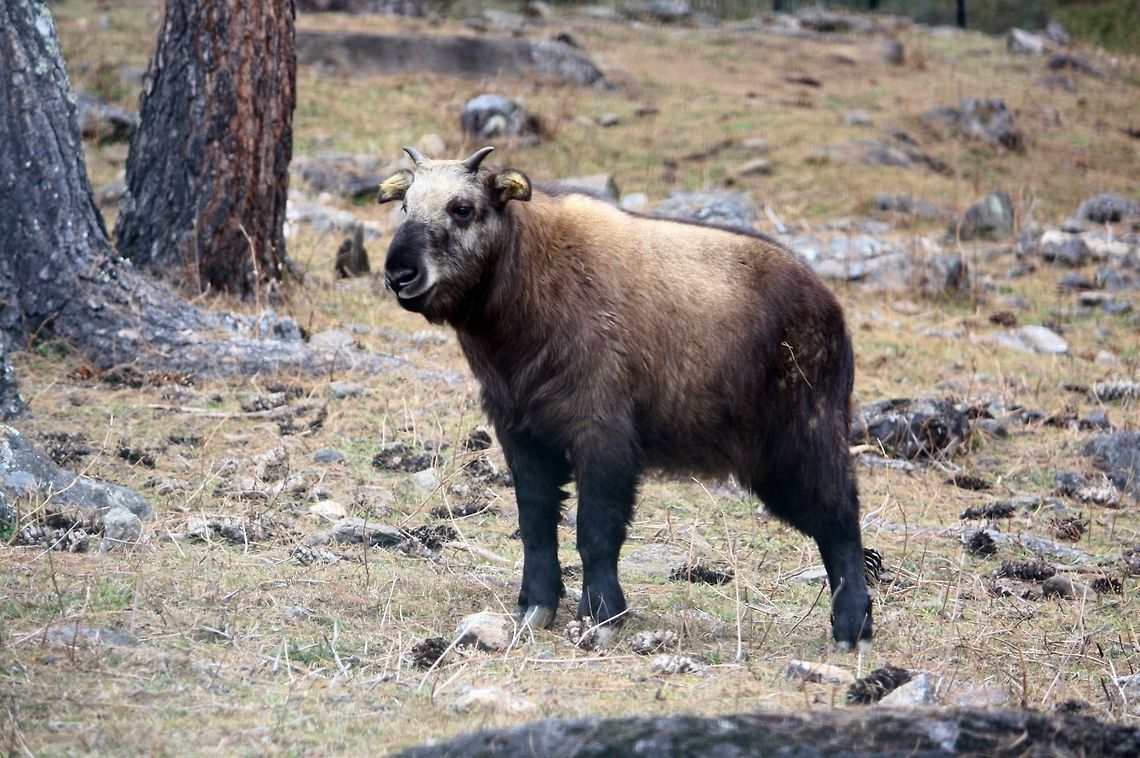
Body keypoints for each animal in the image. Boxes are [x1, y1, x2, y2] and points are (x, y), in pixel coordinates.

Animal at [378, 146, 872, 648]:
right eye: (405, 206)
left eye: (462, 207)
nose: (400, 274)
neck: (534, 278)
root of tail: (829, 305)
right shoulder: (522, 434)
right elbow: (535, 524)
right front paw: (535, 607)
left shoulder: (602, 436)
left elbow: (596, 531)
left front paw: (601, 618)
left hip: (804, 442)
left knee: (840, 520)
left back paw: (852, 627)